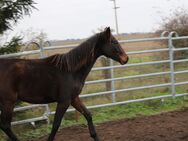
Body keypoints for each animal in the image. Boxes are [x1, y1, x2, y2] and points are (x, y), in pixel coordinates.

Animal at [0, 27, 128, 140]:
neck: (70, 71)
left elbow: (88, 115)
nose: (126, 59)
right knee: (5, 125)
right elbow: (56, 125)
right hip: (8, 102)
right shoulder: (64, 101)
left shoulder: (74, 98)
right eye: (114, 42)